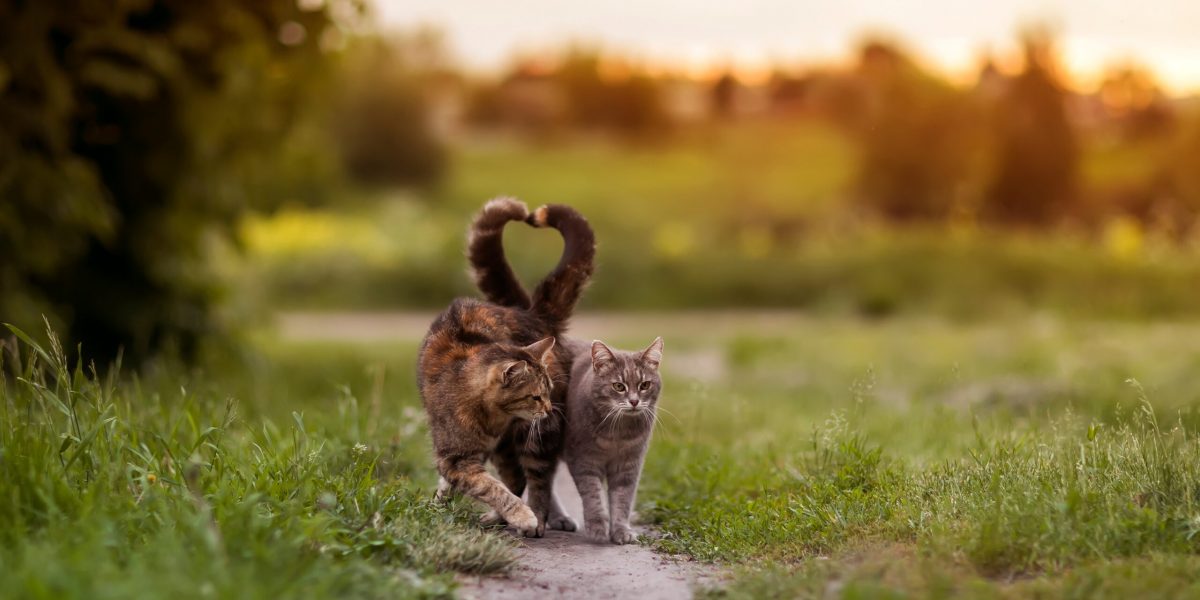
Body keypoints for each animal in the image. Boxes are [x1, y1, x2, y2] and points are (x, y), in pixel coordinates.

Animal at [417, 199, 595, 537]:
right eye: (536, 396)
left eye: (547, 391)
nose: (549, 408)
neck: (492, 419)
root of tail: (532, 314)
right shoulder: (457, 458)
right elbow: (490, 485)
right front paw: (439, 502)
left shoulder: (483, 454)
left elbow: (502, 485)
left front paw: (523, 516)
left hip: (536, 438)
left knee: (536, 480)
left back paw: (536, 518)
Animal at [564, 338, 667, 544]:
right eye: (619, 386)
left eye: (645, 385)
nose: (634, 401)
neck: (618, 434)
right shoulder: (584, 460)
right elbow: (593, 495)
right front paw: (597, 527)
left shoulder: (628, 465)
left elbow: (622, 500)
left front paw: (621, 531)